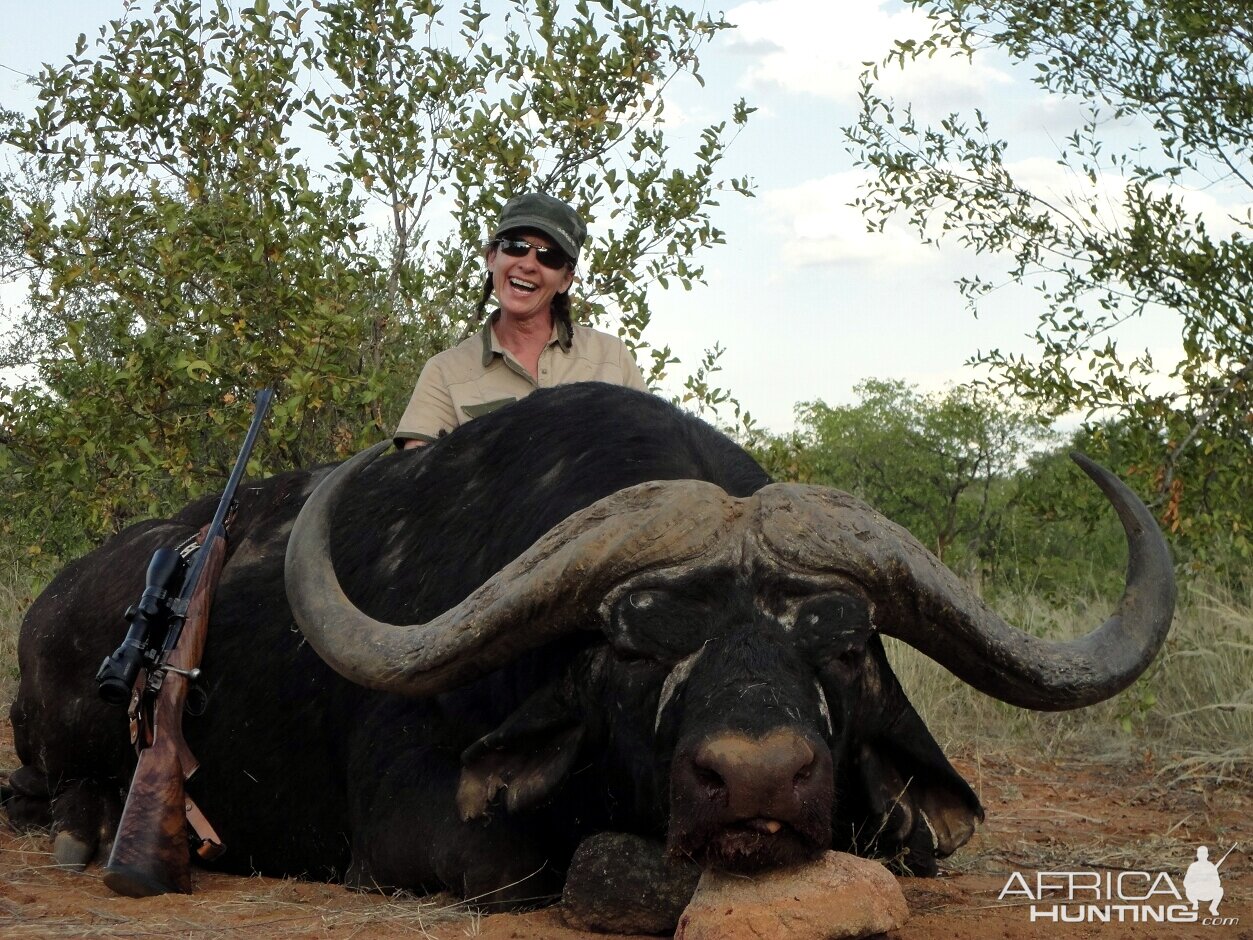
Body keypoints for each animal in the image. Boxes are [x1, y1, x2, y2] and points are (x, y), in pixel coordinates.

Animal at [4, 383, 1172, 907]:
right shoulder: (419, 838)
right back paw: (85, 831)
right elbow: (542, 865)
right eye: (632, 644)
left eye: (841, 647)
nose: (756, 779)